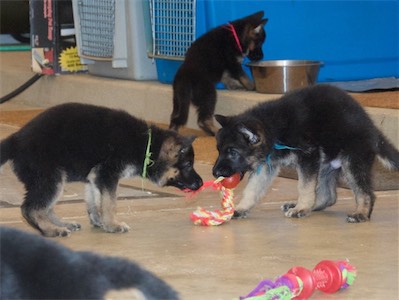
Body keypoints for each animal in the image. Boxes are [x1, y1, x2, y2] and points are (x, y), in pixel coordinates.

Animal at [0, 103, 203, 237]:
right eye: (187, 165)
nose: (201, 183)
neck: (147, 144)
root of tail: (16, 139)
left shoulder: (94, 177)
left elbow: (95, 201)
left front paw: (100, 221)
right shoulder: (107, 174)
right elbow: (110, 202)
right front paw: (112, 224)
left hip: (53, 180)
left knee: (45, 208)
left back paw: (62, 223)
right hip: (51, 179)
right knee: (30, 208)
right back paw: (51, 230)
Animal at [214, 84, 399, 223]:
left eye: (232, 152)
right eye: (219, 150)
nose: (214, 173)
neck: (272, 128)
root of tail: (372, 129)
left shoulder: (308, 156)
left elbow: (304, 186)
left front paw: (301, 208)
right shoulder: (267, 165)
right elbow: (252, 188)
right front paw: (241, 208)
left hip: (352, 161)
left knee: (365, 192)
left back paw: (361, 213)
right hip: (326, 164)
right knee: (328, 196)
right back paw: (303, 205)